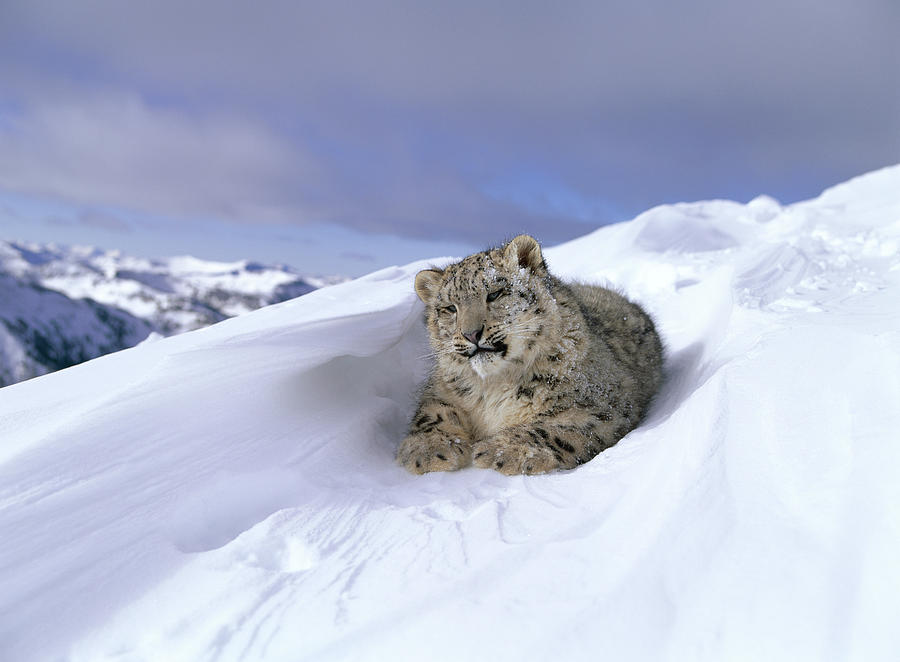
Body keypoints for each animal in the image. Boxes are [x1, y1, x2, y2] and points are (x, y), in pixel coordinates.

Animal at [398, 237, 664, 478]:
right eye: (450, 308)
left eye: (494, 294)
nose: (471, 334)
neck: (494, 385)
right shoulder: (441, 390)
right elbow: (431, 414)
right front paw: (429, 451)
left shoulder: (601, 406)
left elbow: (556, 429)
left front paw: (500, 451)